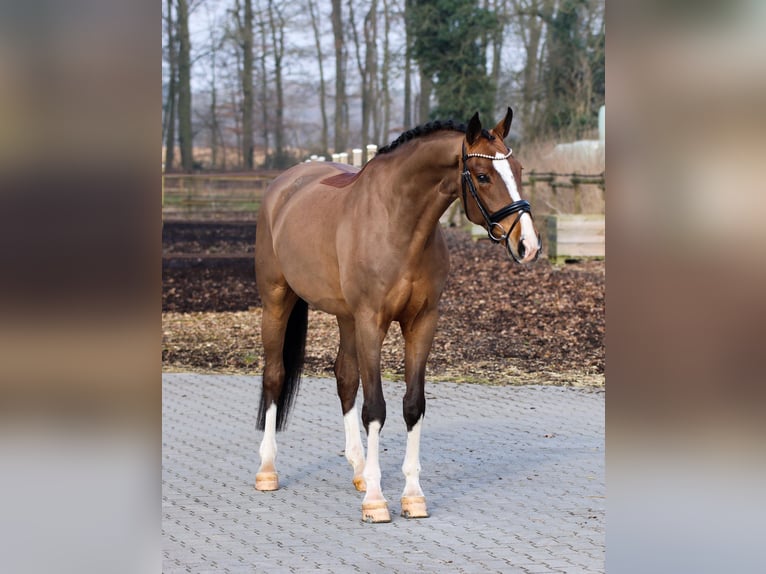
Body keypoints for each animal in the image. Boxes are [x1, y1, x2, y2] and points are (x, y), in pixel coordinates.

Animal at [252, 109, 540, 528]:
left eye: (517, 169)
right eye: (483, 176)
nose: (528, 245)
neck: (398, 224)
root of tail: (284, 185)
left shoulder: (421, 323)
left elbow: (412, 405)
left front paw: (412, 496)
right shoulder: (372, 321)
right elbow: (376, 408)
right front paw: (375, 501)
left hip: (345, 316)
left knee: (344, 377)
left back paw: (358, 470)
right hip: (277, 299)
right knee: (275, 375)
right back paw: (268, 470)